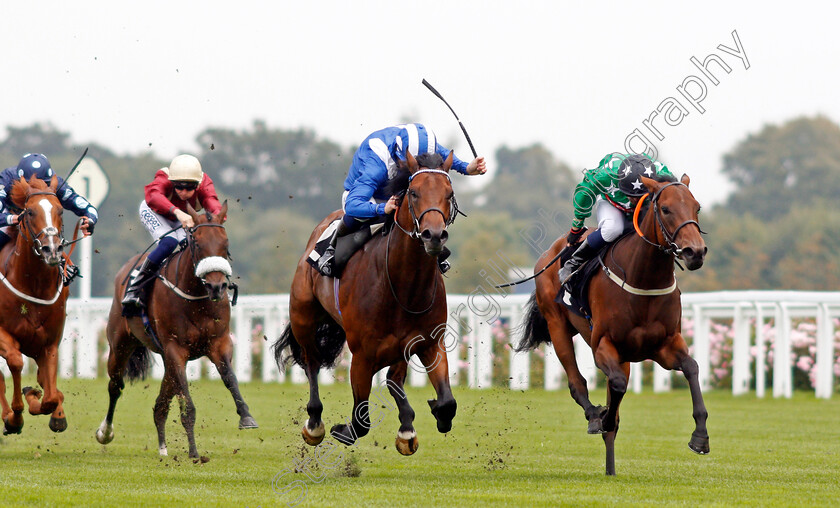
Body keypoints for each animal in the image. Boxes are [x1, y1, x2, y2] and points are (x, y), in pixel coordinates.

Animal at [0, 177, 69, 434]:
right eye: (29, 212)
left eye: (60, 210)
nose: (52, 249)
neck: (33, 285)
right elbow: (15, 362)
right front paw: (15, 417)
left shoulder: (48, 344)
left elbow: (49, 397)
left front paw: (38, 398)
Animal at [97, 203, 258, 460]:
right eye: (198, 244)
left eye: (226, 244)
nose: (217, 286)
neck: (197, 299)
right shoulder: (176, 350)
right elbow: (186, 402)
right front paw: (193, 451)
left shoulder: (219, 343)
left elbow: (230, 378)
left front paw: (246, 416)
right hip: (120, 344)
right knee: (116, 386)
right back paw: (105, 432)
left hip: (165, 360)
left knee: (160, 403)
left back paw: (162, 446)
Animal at [274, 151, 460, 456]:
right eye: (414, 192)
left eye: (449, 193)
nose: (434, 236)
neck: (403, 288)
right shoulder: (362, 356)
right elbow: (360, 421)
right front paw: (341, 428)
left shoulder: (430, 343)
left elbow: (447, 403)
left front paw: (426, 418)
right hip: (303, 319)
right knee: (311, 363)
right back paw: (314, 423)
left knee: (394, 379)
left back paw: (406, 425)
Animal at [520, 175, 708, 476]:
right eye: (666, 209)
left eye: (696, 207)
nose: (695, 252)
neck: (644, 279)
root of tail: (550, 254)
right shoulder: (603, 345)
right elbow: (616, 387)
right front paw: (604, 418)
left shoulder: (666, 345)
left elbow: (691, 368)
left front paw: (700, 436)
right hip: (557, 325)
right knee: (577, 382)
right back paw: (595, 415)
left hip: (625, 356)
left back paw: (610, 468)